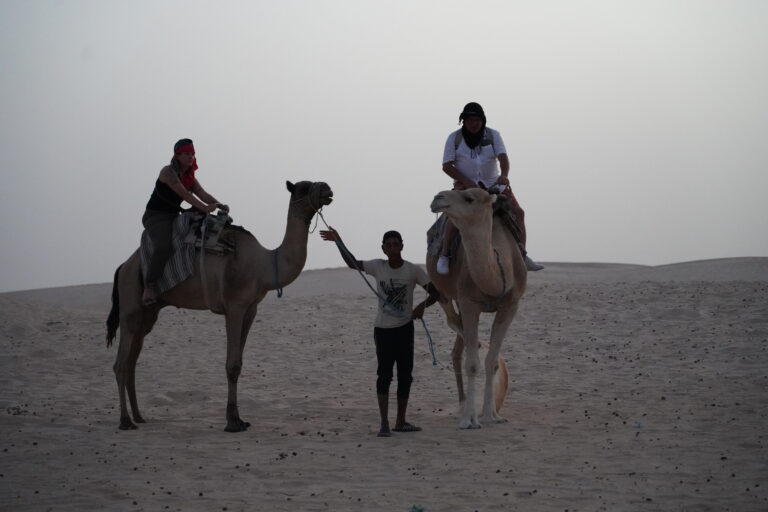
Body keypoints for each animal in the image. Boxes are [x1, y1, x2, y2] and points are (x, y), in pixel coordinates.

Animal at [103, 180, 332, 432]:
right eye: (303, 188)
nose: (327, 189)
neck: (263, 265)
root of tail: (124, 266)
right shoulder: (234, 306)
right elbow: (231, 365)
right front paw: (232, 422)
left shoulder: (251, 309)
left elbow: (239, 363)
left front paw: (240, 419)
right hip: (130, 307)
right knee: (120, 363)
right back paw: (125, 421)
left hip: (148, 313)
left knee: (132, 361)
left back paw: (139, 416)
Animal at [428, 188, 524, 428]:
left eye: (469, 198)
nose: (437, 198)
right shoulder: (469, 303)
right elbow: (472, 364)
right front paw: (469, 420)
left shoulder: (510, 306)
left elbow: (491, 362)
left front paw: (492, 415)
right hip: (444, 292)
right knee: (454, 325)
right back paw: (463, 407)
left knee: (459, 346)